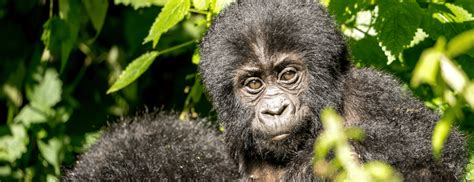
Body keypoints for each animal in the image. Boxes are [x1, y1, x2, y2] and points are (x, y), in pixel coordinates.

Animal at [199, 0, 466, 181]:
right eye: (254, 84)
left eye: (288, 75)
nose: (275, 110)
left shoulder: (372, 91)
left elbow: (434, 153)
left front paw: (321, 160)